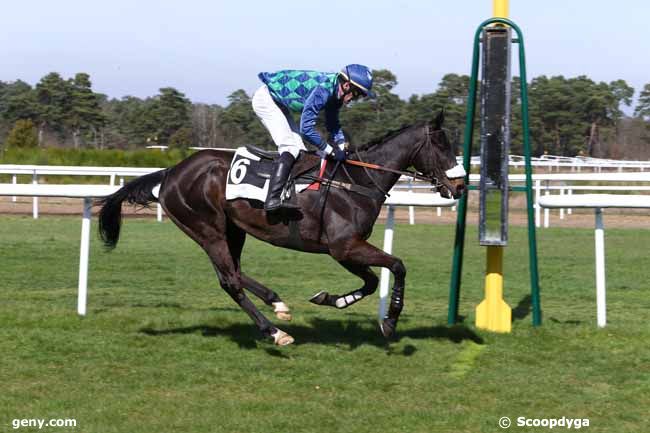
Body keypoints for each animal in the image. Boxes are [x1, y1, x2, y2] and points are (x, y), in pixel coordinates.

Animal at [96, 111, 464, 344]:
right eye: (443, 146)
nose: (460, 186)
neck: (355, 179)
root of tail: (171, 171)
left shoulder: (344, 249)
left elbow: (372, 282)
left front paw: (331, 299)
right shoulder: (344, 245)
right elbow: (397, 266)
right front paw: (390, 321)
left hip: (233, 229)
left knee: (234, 272)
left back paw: (278, 304)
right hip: (207, 230)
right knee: (230, 281)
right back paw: (274, 332)